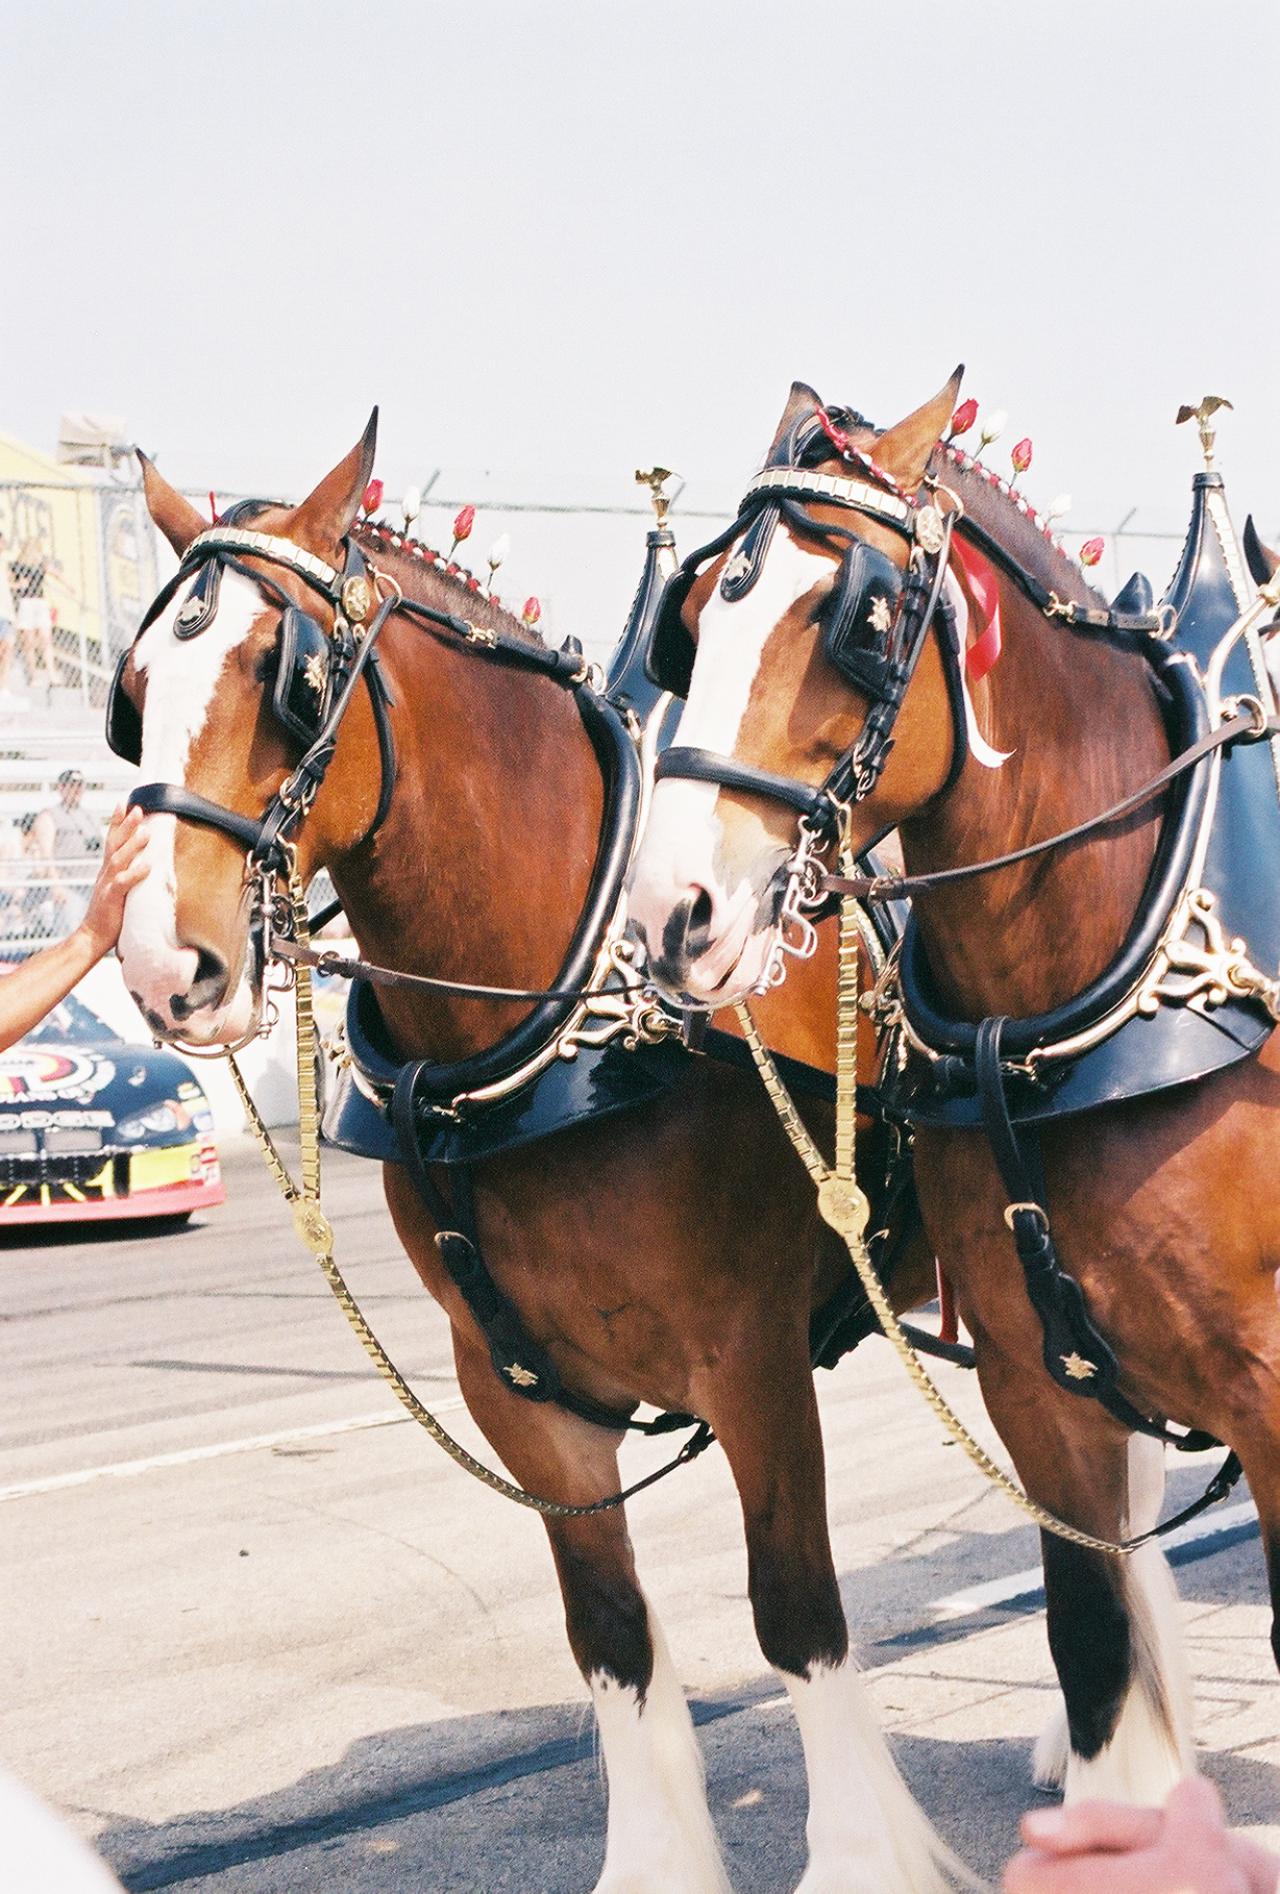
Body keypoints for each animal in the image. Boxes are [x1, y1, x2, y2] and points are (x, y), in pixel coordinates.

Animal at [106, 420, 966, 1894]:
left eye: (290, 682)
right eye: (134, 690)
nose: (167, 965)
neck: (566, 1022)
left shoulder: (751, 1360)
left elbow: (795, 1612)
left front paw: (869, 1852)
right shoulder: (517, 1387)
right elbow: (610, 1635)